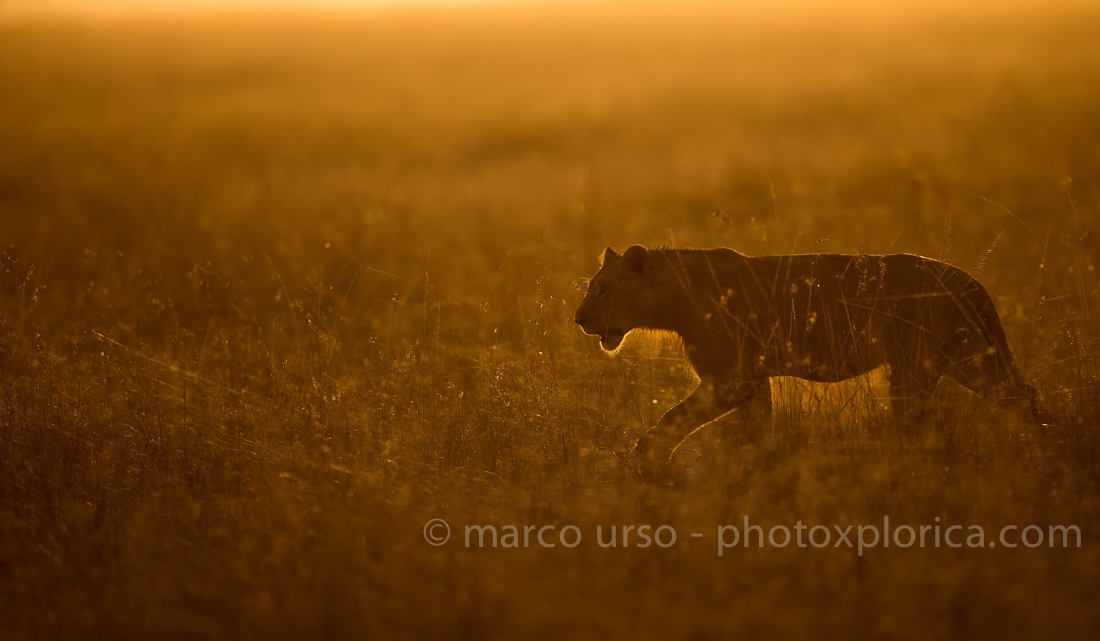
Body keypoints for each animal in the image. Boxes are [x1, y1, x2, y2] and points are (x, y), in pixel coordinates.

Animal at [574, 245, 1045, 474]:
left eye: (604, 288)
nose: (578, 318)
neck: (672, 300)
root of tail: (971, 282)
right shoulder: (751, 381)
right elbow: (760, 432)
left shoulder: (731, 379)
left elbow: (673, 419)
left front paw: (645, 460)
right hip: (974, 361)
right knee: (1025, 396)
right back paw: (1048, 448)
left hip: (913, 369)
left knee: (922, 430)